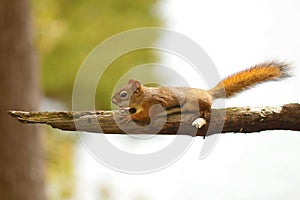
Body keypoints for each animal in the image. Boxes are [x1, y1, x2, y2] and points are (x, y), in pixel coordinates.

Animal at [112, 61, 290, 128]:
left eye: (123, 94)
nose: (113, 100)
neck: (142, 97)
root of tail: (207, 93)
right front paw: (127, 111)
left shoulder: (150, 105)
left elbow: (144, 117)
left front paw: (128, 116)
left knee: (207, 107)